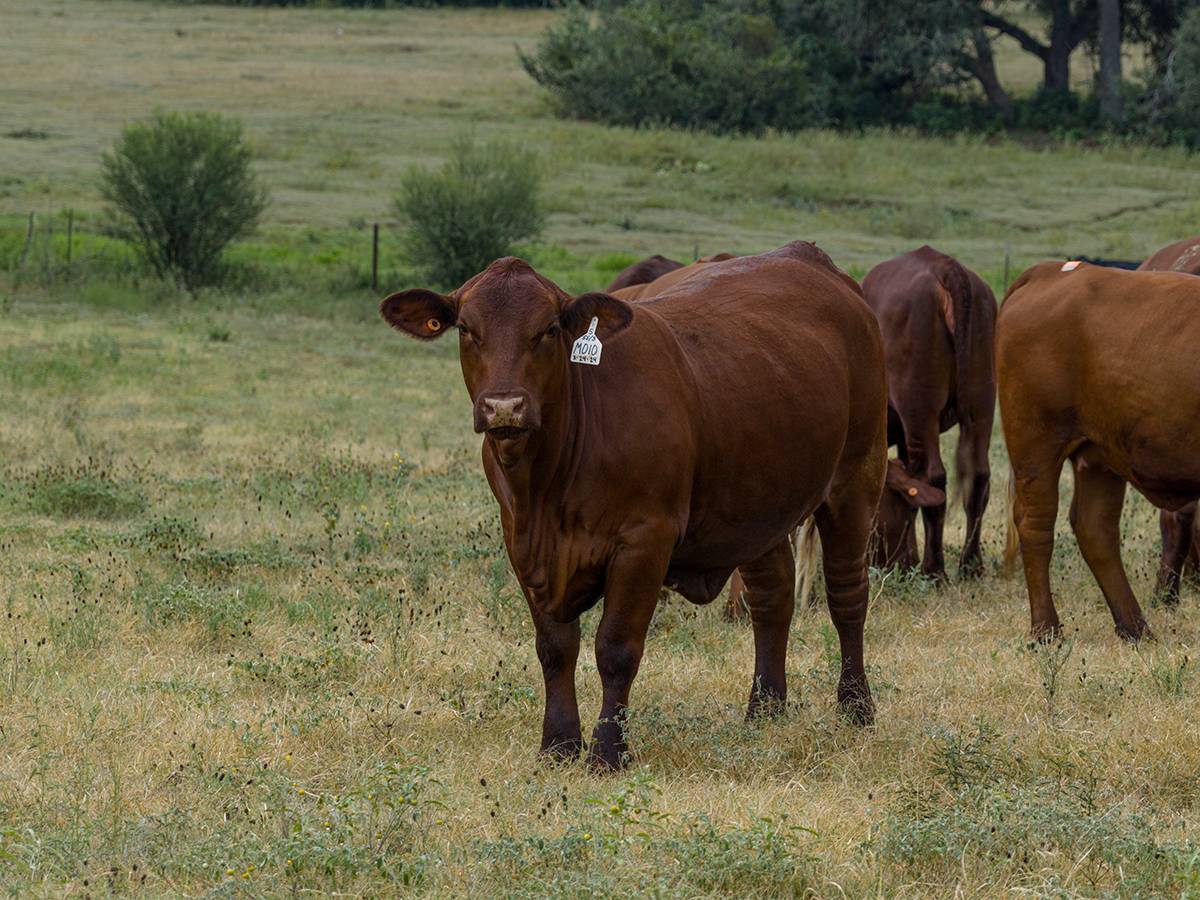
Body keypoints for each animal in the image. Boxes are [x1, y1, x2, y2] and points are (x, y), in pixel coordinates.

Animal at [379, 242, 887, 769]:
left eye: (550, 329)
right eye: (465, 329)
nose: (505, 407)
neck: (547, 485)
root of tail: (807, 256)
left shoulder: (644, 543)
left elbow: (616, 649)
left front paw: (607, 751)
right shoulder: (522, 545)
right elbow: (555, 649)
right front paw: (558, 744)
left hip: (856, 480)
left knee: (848, 597)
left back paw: (856, 706)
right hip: (757, 505)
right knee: (773, 599)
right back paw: (765, 709)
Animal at [860, 246, 997, 581]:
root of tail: (945, 267)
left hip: (919, 408)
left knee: (935, 477)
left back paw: (934, 570)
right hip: (982, 402)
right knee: (978, 477)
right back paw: (970, 566)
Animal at [998, 261, 1200, 641]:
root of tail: (1053, 271)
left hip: (1099, 457)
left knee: (1095, 529)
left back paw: (1134, 627)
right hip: (1036, 447)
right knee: (1036, 526)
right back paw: (1046, 631)